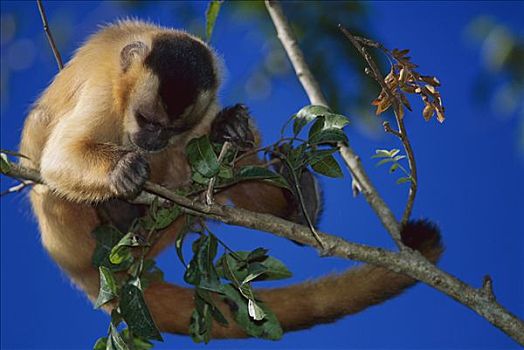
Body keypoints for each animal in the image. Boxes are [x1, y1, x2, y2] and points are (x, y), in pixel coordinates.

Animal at [18, 19, 442, 340]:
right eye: (147, 121)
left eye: (170, 128)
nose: (154, 140)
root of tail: (75, 266)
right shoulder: (105, 95)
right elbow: (57, 158)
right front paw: (123, 170)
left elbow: (213, 133)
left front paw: (229, 131)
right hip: (66, 225)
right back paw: (120, 214)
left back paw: (293, 203)